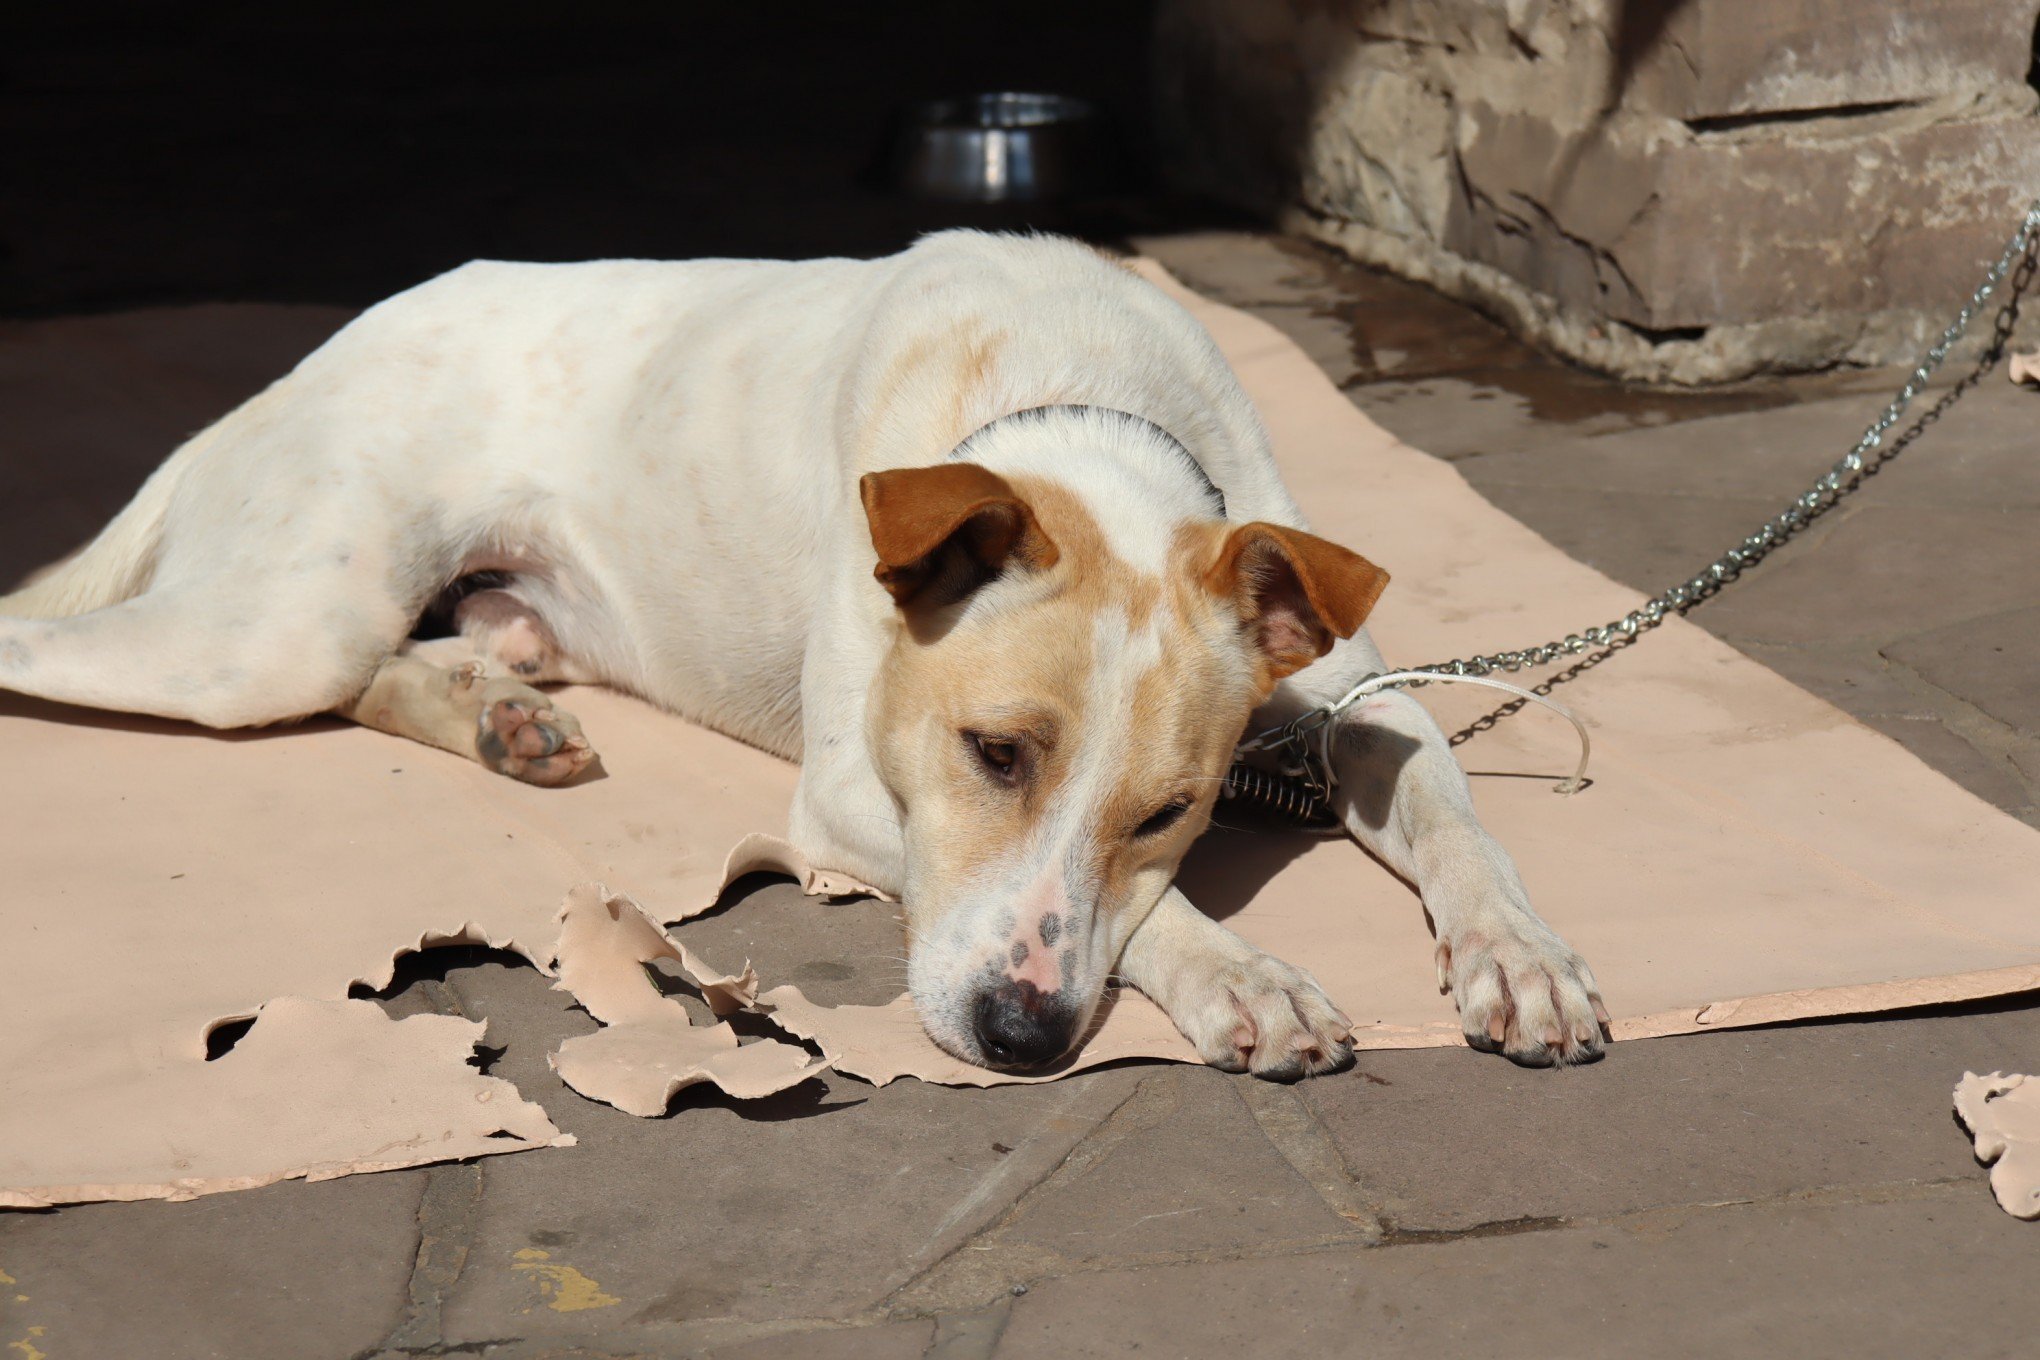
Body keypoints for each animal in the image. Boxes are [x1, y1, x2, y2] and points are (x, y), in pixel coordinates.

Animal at [0, 236, 1607, 1084]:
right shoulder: (848, 798)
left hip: (452, 618)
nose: (1022, 1034)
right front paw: (1244, 974)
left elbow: (1449, 806)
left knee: (405, 659)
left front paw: (1521, 957)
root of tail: (294, 368)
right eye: (993, 752)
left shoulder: (1359, 702)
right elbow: (1154, 921)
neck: (1076, 399)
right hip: (268, 626)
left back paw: (503, 717)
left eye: (1171, 810)